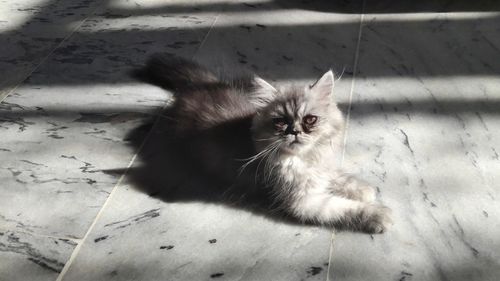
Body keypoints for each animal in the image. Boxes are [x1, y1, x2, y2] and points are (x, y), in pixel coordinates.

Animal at [139, 53, 392, 233]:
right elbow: (344, 207)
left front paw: (364, 190)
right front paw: (378, 215)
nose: (295, 131)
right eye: (280, 122)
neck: (302, 160)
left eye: (310, 120)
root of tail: (197, 85)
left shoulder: (324, 168)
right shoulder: (305, 202)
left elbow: (340, 177)